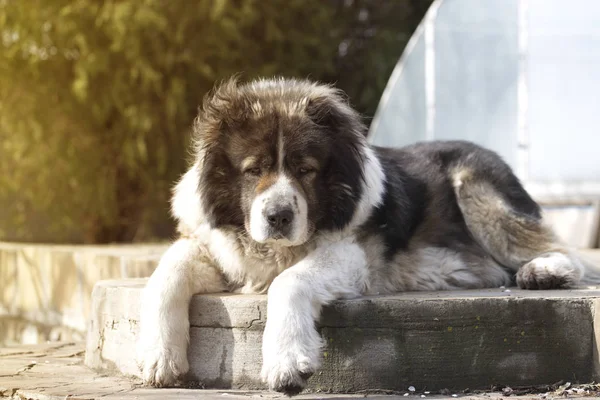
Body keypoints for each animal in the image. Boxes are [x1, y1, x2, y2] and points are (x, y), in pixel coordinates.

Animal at [137, 76, 596, 394]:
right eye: (254, 169)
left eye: (305, 169)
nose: (278, 216)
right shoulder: (219, 249)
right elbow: (165, 273)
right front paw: (159, 355)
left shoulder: (351, 254)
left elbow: (288, 281)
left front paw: (286, 360)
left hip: (476, 187)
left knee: (558, 246)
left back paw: (545, 272)